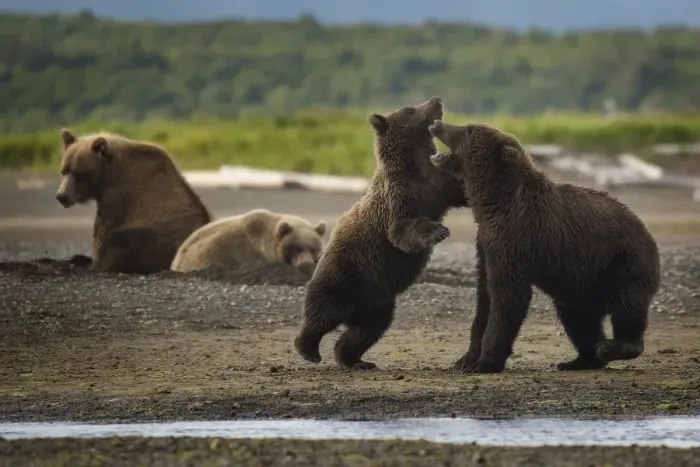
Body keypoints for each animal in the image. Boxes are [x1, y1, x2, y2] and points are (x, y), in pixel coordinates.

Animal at [56, 129, 212, 274]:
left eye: (80, 173)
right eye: (64, 170)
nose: (61, 196)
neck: (110, 175)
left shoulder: (116, 197)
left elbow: (102, 233)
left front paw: (93, 262)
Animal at [293, 96, 471, 370]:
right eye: (410, 108)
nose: (436, 100)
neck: (415, 164)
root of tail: (353, 310)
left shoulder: (438, 185)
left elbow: (461, 190)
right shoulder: (397, 197)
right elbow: (402, 229)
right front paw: (439, 231)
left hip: (377, 300)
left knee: (365, 331)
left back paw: (355, 360)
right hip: (345, 273)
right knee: (323, 310)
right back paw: (308, 348)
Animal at [428, 119, 661, 374]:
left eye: (468, 130)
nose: (437, 123)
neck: (493, 203)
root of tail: (645, 229)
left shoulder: (516, 237)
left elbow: (508, 297)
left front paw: (485, 363)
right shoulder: (486, 243)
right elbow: (484, 297)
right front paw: (464, 360)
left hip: (622, 261)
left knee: (626, 306)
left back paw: (611, 346)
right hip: (579, 283)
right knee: (577, 318)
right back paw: (578, 360)